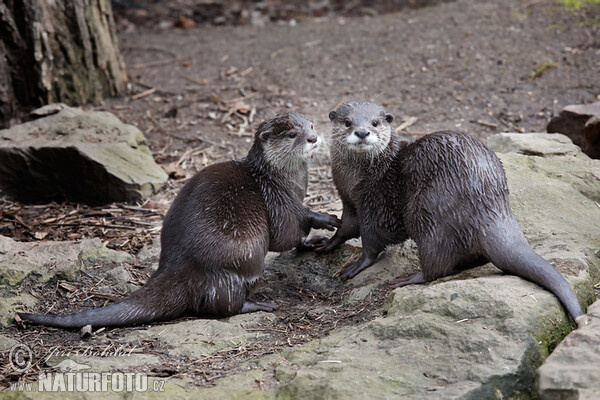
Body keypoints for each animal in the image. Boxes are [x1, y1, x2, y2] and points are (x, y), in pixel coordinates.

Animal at [18, 111, 342, 328]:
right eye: (292, 135)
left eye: (311, 125)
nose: (313, 138)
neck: (282, 179)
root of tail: (178, 268)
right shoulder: (277, 201)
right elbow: (287, 233)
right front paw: (323, 222)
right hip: (241, 256)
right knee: (224, 305)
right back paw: (257, 304)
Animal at [316, 101, 584, 320]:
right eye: (347, 122)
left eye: (375, 122)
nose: (362, 132)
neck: (359, 179)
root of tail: (490, 209)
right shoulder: (348, 199)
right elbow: (347, 226)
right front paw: (327, 243)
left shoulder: (374, 202)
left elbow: (372, 241)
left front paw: (356, 265)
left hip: (424, 210)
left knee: (437, 264)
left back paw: (409, 279)